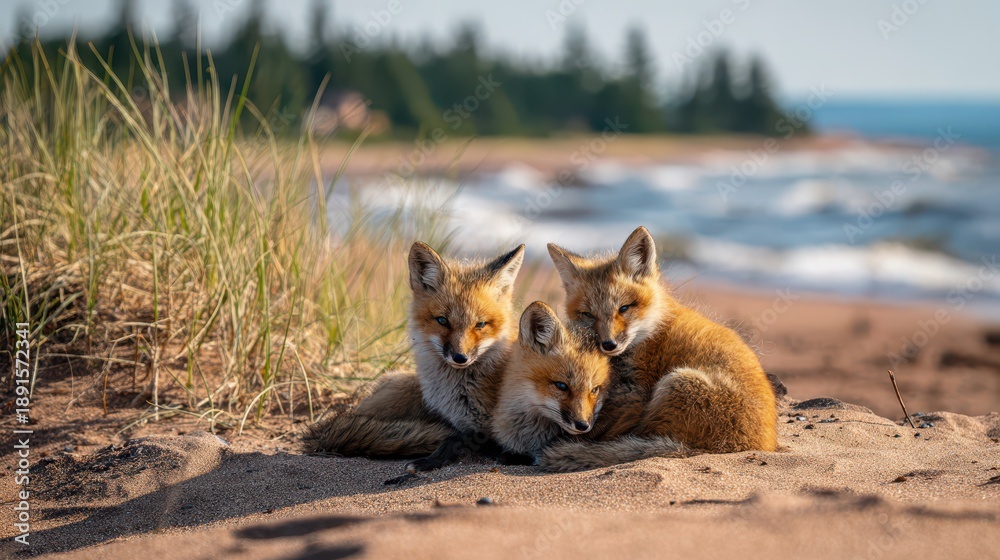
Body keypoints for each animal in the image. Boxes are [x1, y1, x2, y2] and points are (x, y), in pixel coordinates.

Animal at [540, 226, 778, 471]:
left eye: (624, 308)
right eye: (588, 315)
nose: (608, 345)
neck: (652, 329)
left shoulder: (636, 393)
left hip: (675, 382)